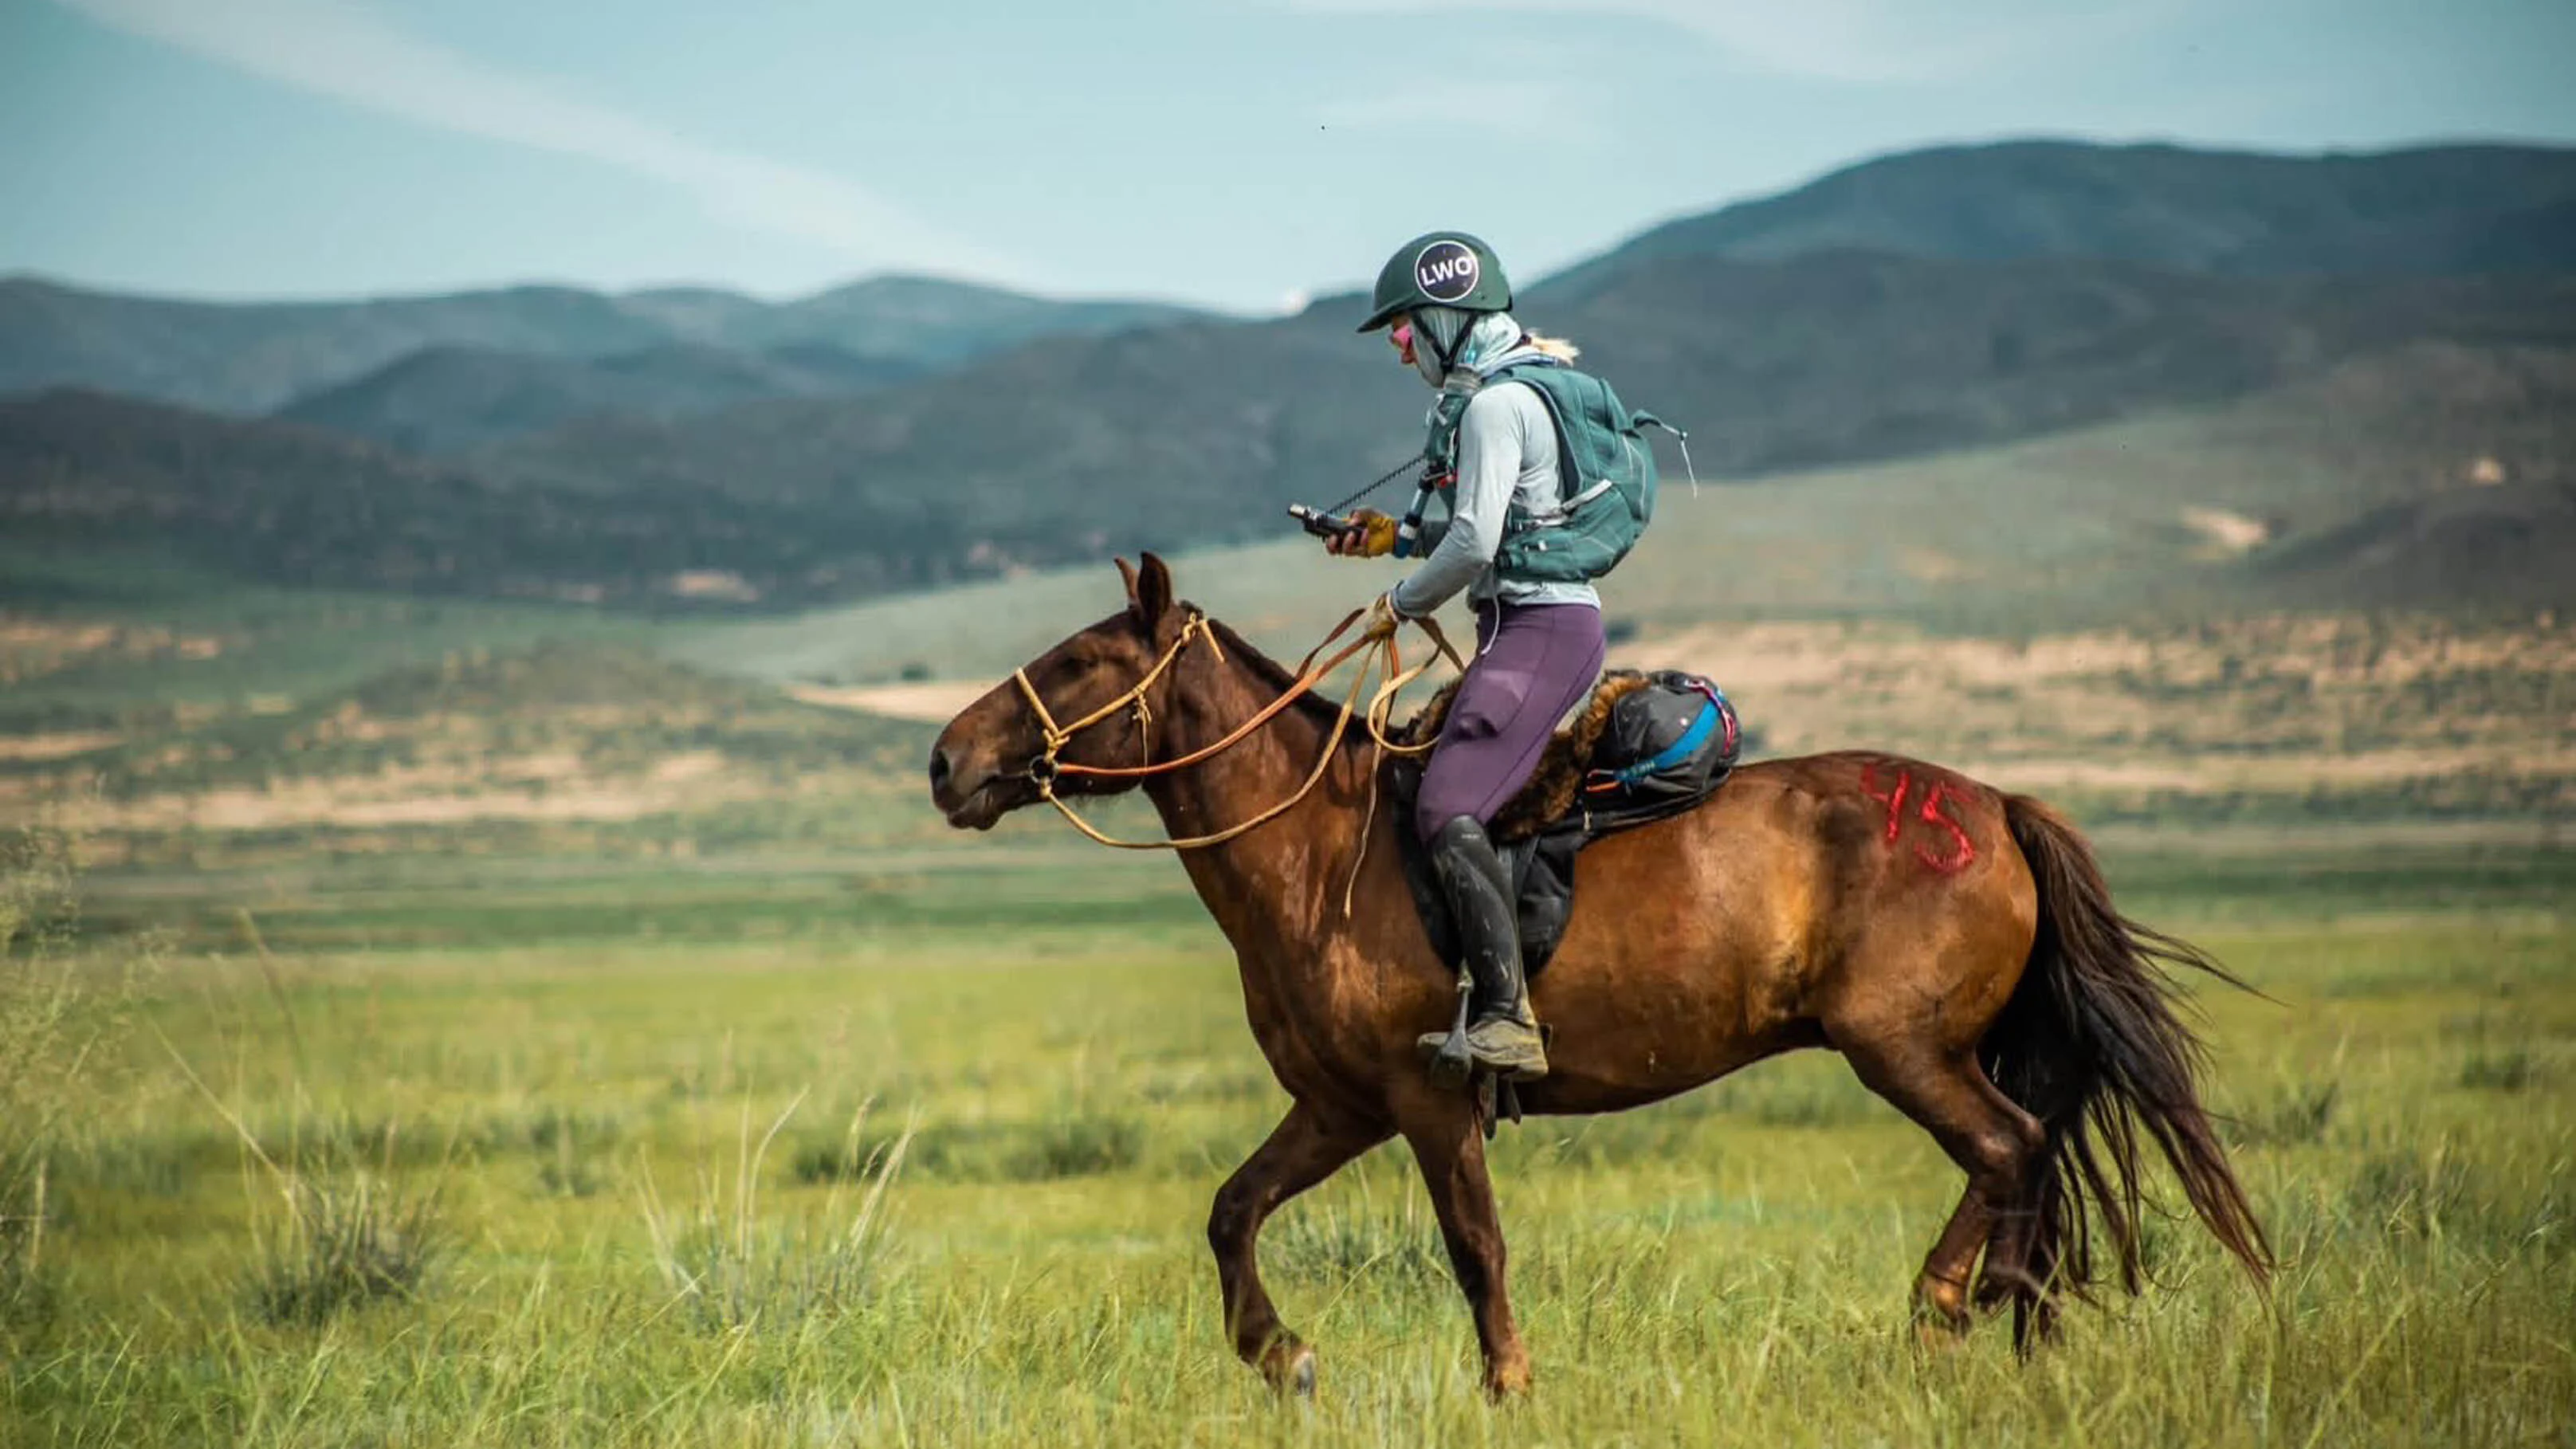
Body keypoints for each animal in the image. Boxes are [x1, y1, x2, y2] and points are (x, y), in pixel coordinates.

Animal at [927, 553, 2271, 1397]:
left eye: (1084, 661)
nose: (945, 761)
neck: (1318, 850)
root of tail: (1993, 805)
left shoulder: (1427, 1102)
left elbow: (1475, 1247)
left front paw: (1508, 1385)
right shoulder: (1342, 1105)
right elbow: (1232, 1209)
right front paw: (1283, 1357)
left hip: (1905, 1049)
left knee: (2010, 1149)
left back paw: (1952, 1306)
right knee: (2032, 1160)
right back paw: (2024, 1334)